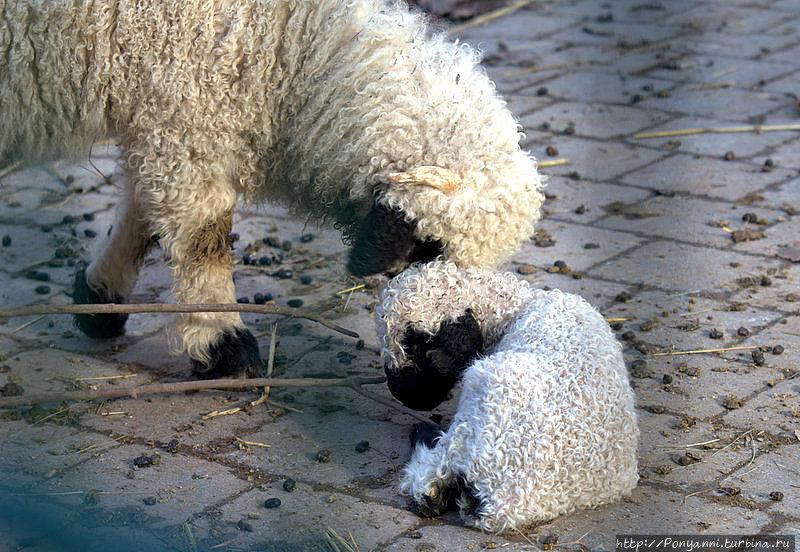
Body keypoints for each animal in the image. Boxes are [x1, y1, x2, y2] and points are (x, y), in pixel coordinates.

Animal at [1, 0, 544, 378]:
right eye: (428, 250)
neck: (286, 46)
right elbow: (203, 235)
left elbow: (143, 212)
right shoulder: (186, 112)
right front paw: (220, 341)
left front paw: (99, 296)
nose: (439, 368)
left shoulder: (163, 114)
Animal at [374, 262, 636, 532]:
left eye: (417, 346)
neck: (516, 307)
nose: (401, 396)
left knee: (431, 477)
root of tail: (496, 505)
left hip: (484, 395)